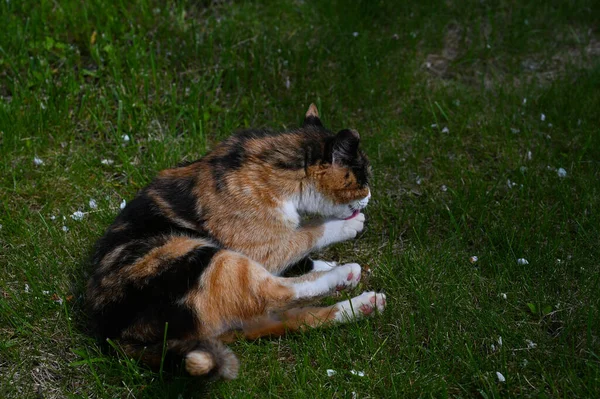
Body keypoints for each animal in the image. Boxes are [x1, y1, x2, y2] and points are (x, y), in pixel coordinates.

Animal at [86, 104, 386, 380]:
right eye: (363, 179)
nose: (371, 196)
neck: (273, 165)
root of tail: (118, 338)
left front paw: (326, 263)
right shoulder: (264, 250)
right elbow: (305, 234)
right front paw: (345, 227)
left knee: (293, 317)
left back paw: (364, 304)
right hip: (205, 258)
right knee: (276, 293)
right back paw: (344, 274)